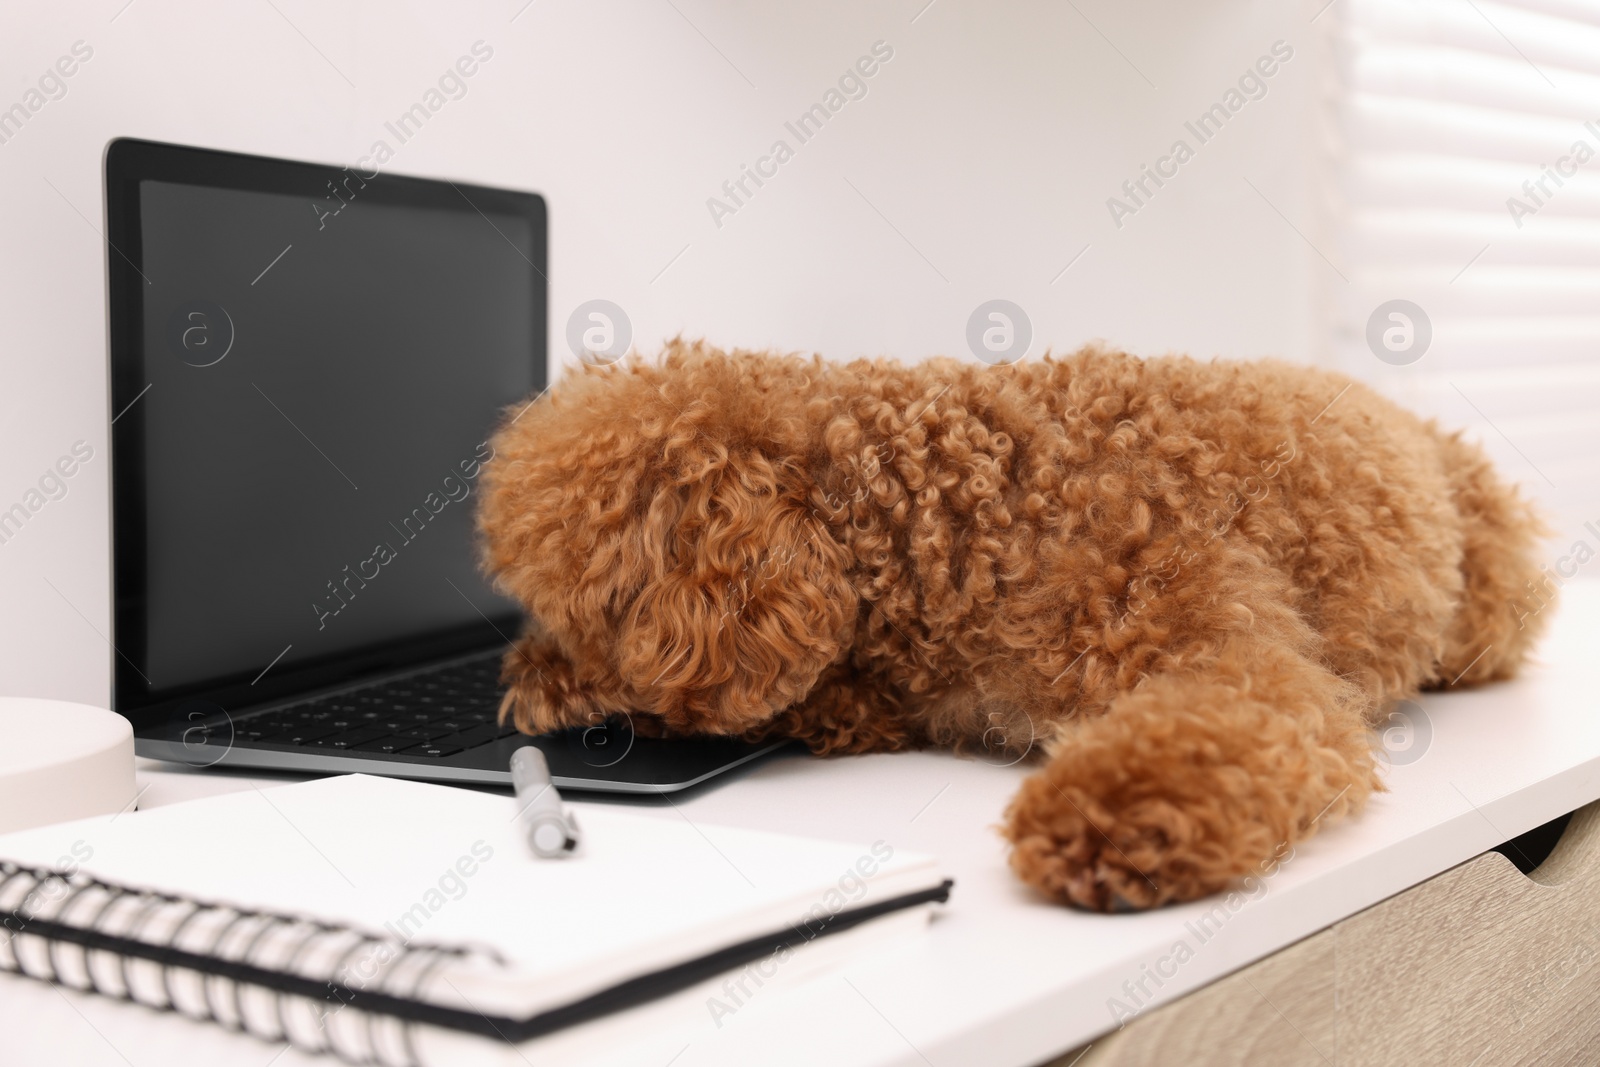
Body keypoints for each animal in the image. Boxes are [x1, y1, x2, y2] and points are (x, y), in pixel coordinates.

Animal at [476, 340, 1548, 908]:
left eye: (573, 620)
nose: (512, 685)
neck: (950, 518)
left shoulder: (1232, 656)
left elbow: (1216, 730)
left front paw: (1110, 817)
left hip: (1487, 601)